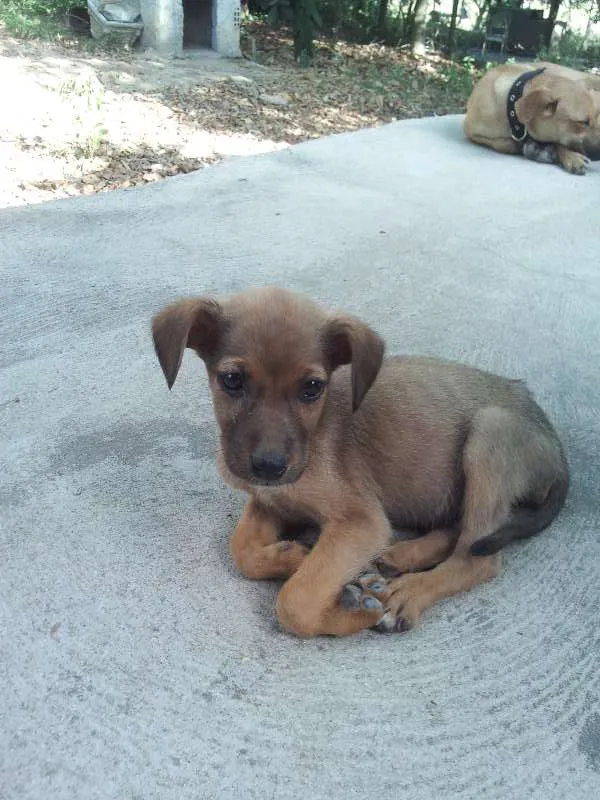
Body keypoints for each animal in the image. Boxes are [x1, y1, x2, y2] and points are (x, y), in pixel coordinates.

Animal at [152, 288, 568, 636]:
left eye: (312, 388)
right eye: (232, 380)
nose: (270, 467)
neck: (313, 439)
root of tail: (557, 450)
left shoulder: (360, 521)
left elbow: (296, 601)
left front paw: (353, 610)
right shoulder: (269, 500)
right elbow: (240, 549)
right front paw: (293, 555)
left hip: (490, 431)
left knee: (477, 557)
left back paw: (406, 592)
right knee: (459, 528)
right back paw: (398, 555)